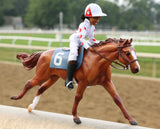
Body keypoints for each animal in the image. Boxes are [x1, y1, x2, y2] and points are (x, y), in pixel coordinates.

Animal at [10, 38, 140, 125]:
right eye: (127, 52)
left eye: (134, 50)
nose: (137, 68)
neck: (97, 60)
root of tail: (43, 53)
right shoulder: (83, 82)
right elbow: (78, 97)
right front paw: (75, 117)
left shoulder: (107, 82)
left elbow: (117, 99)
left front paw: (131, 119)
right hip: (41, 75)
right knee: (29, 83)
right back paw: (16, 97)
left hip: (53, 77)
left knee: (41, 88)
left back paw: (31, 107)